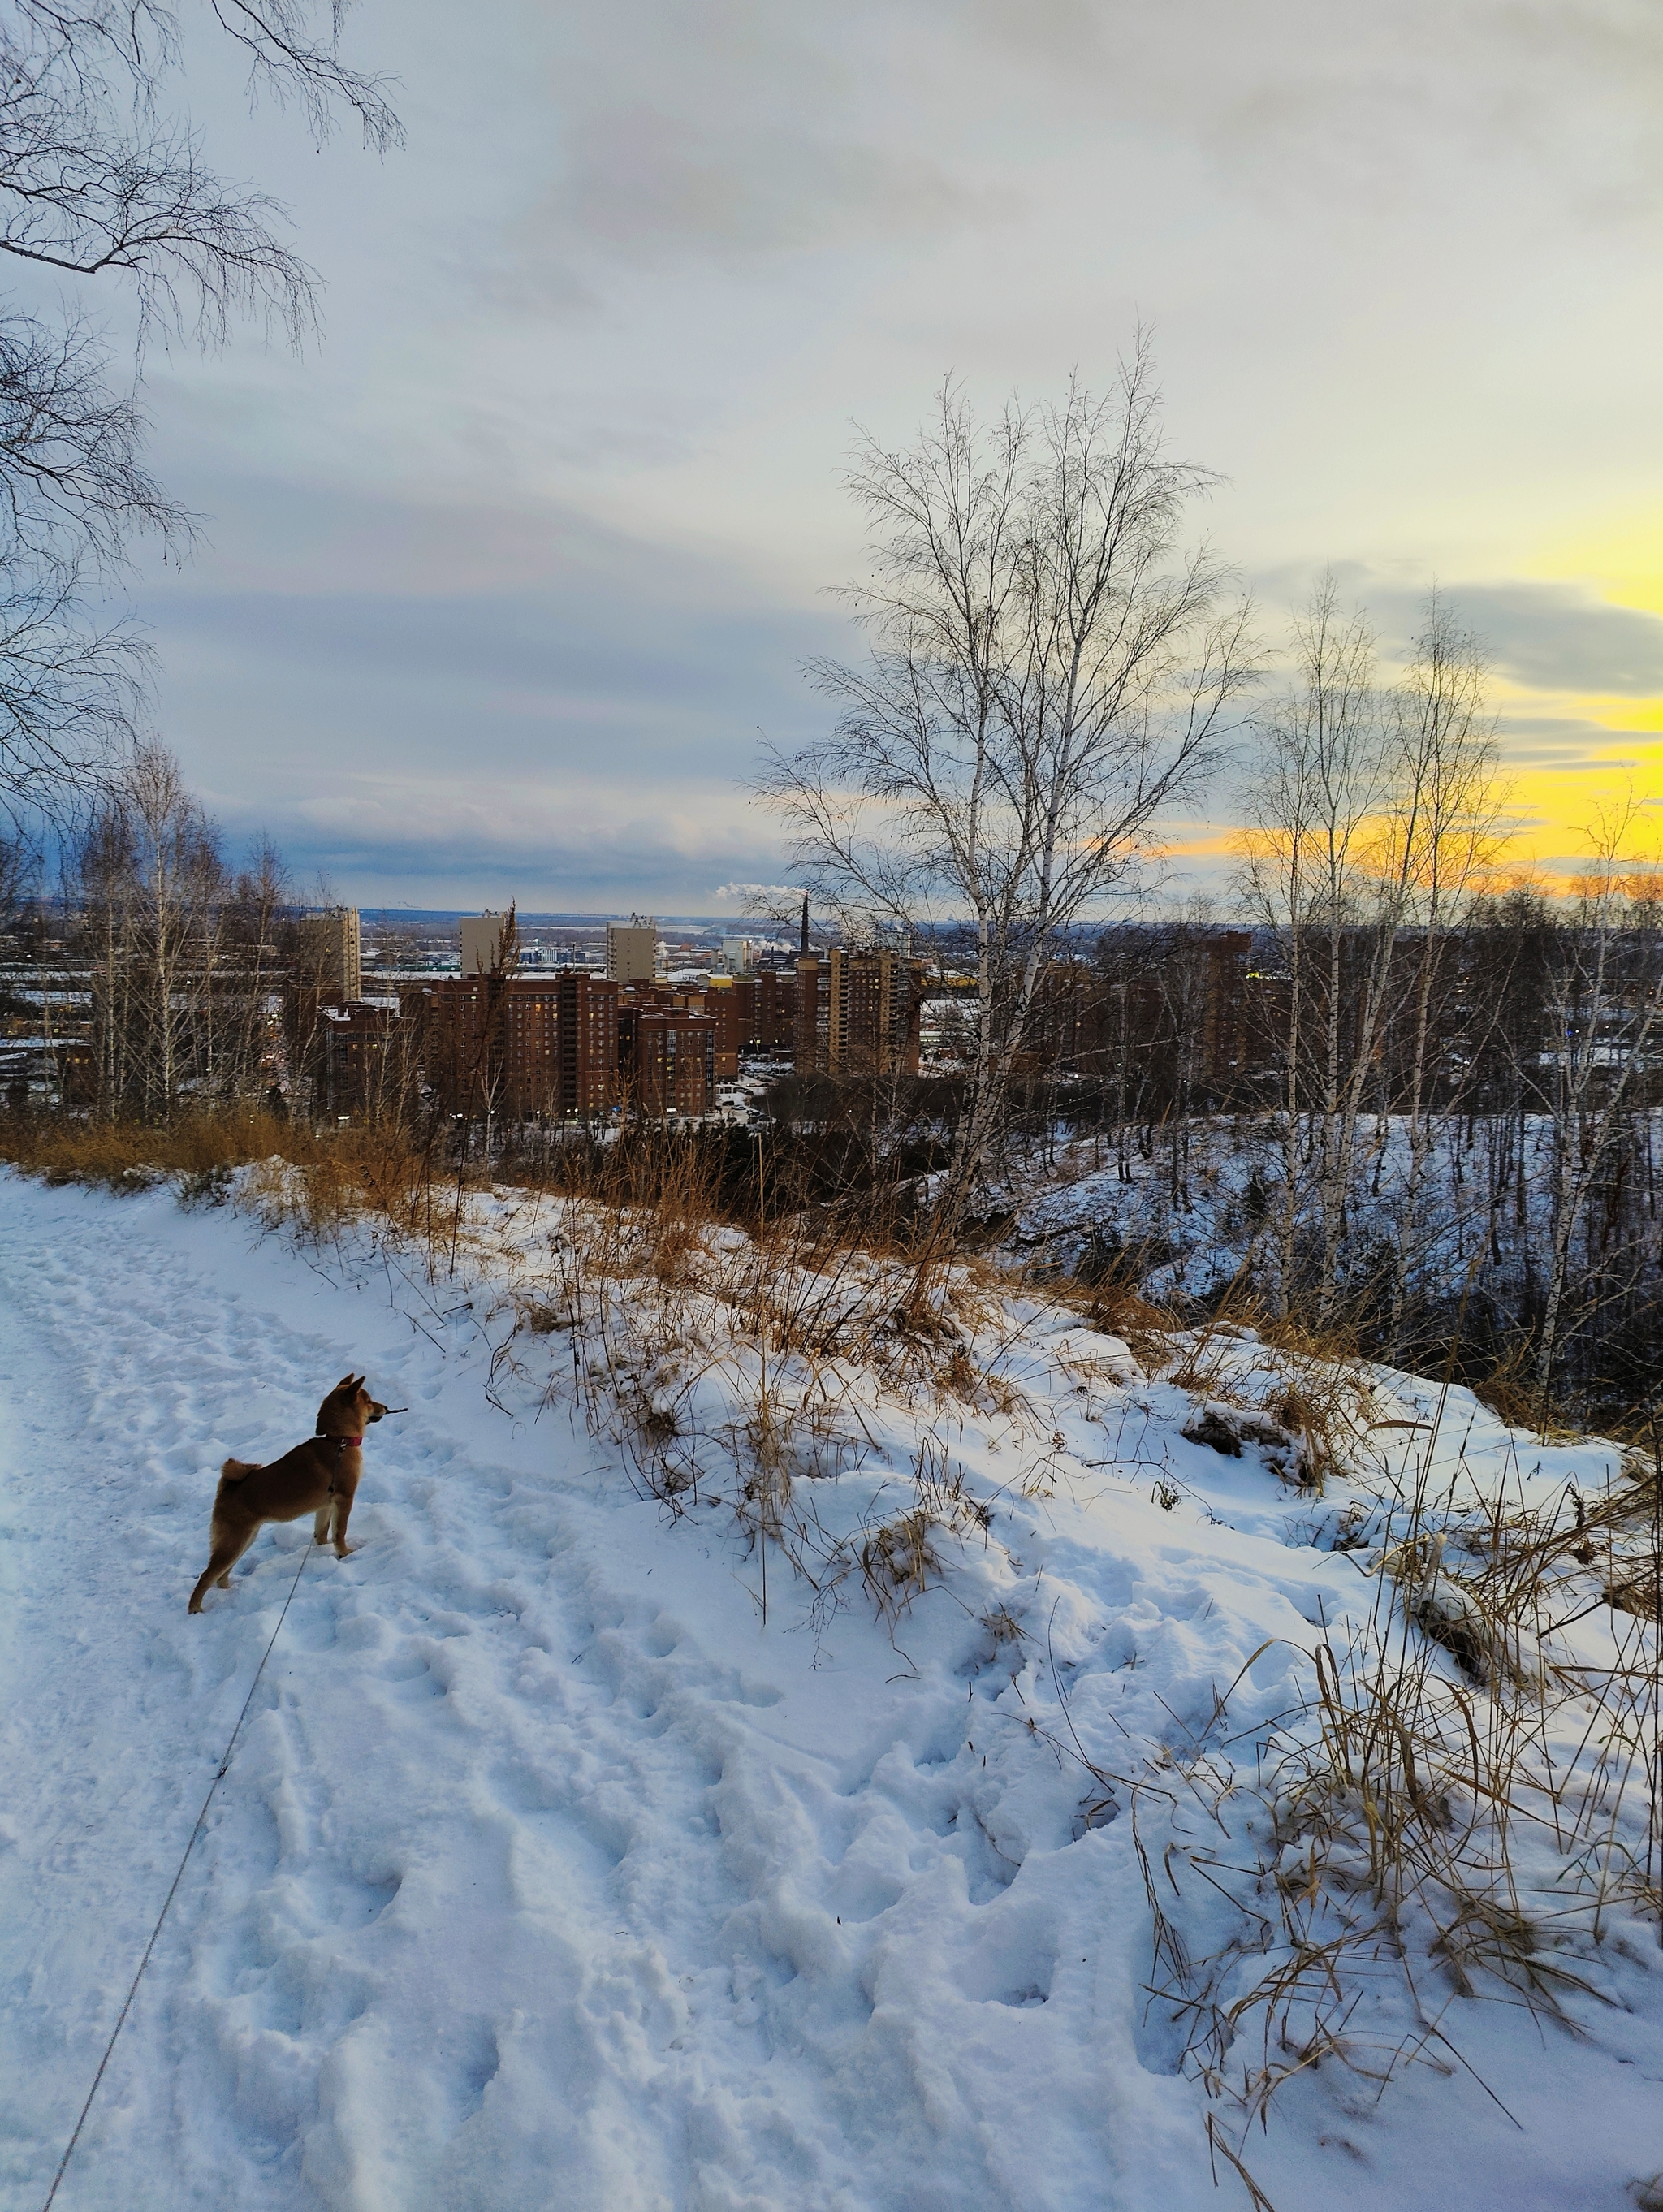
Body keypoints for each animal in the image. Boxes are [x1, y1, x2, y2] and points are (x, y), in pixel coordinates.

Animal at [190, 1371, 391, 1618]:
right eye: (369, 1401)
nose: (386, 1407)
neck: (338, 1441)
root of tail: (229, 1488)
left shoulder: (325, 1506)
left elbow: (322, 1532)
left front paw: (322, 1550)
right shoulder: (345, 1499)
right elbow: (340, 1532)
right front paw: (345, 1554)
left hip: (244, 1539)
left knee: (221, 1576)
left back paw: (230, 1592)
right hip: (235, 1541)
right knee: (207, 1576)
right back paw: (195, 1610)